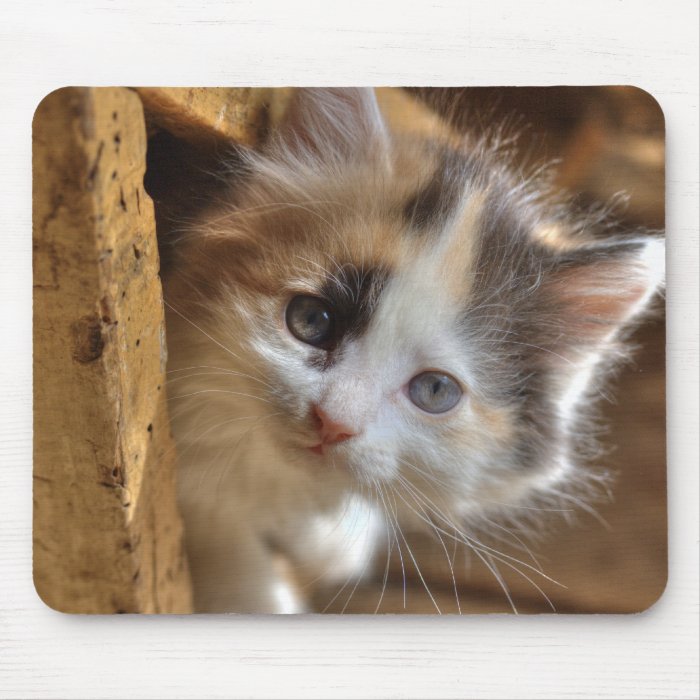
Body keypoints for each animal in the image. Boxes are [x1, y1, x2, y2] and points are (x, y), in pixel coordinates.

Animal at [161, 87, 664, 612]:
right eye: (312, 321)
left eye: (436, 390)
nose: (332, 423)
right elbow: (218, 523)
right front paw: (252, 592)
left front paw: (331, 542)